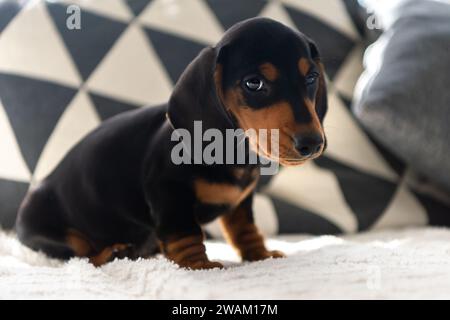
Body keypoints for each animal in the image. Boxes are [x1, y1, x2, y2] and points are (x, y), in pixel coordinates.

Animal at [15, 16, 328, 268]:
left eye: (312, 77)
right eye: (254, 83)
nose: (313, 143)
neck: (233, 150)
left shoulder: (241, 200)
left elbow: (244, 228)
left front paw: (259, 255)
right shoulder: (169, 195)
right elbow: (185, 233)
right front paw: (198, 265)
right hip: (54, 234)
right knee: (79, 252)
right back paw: (112, 252)